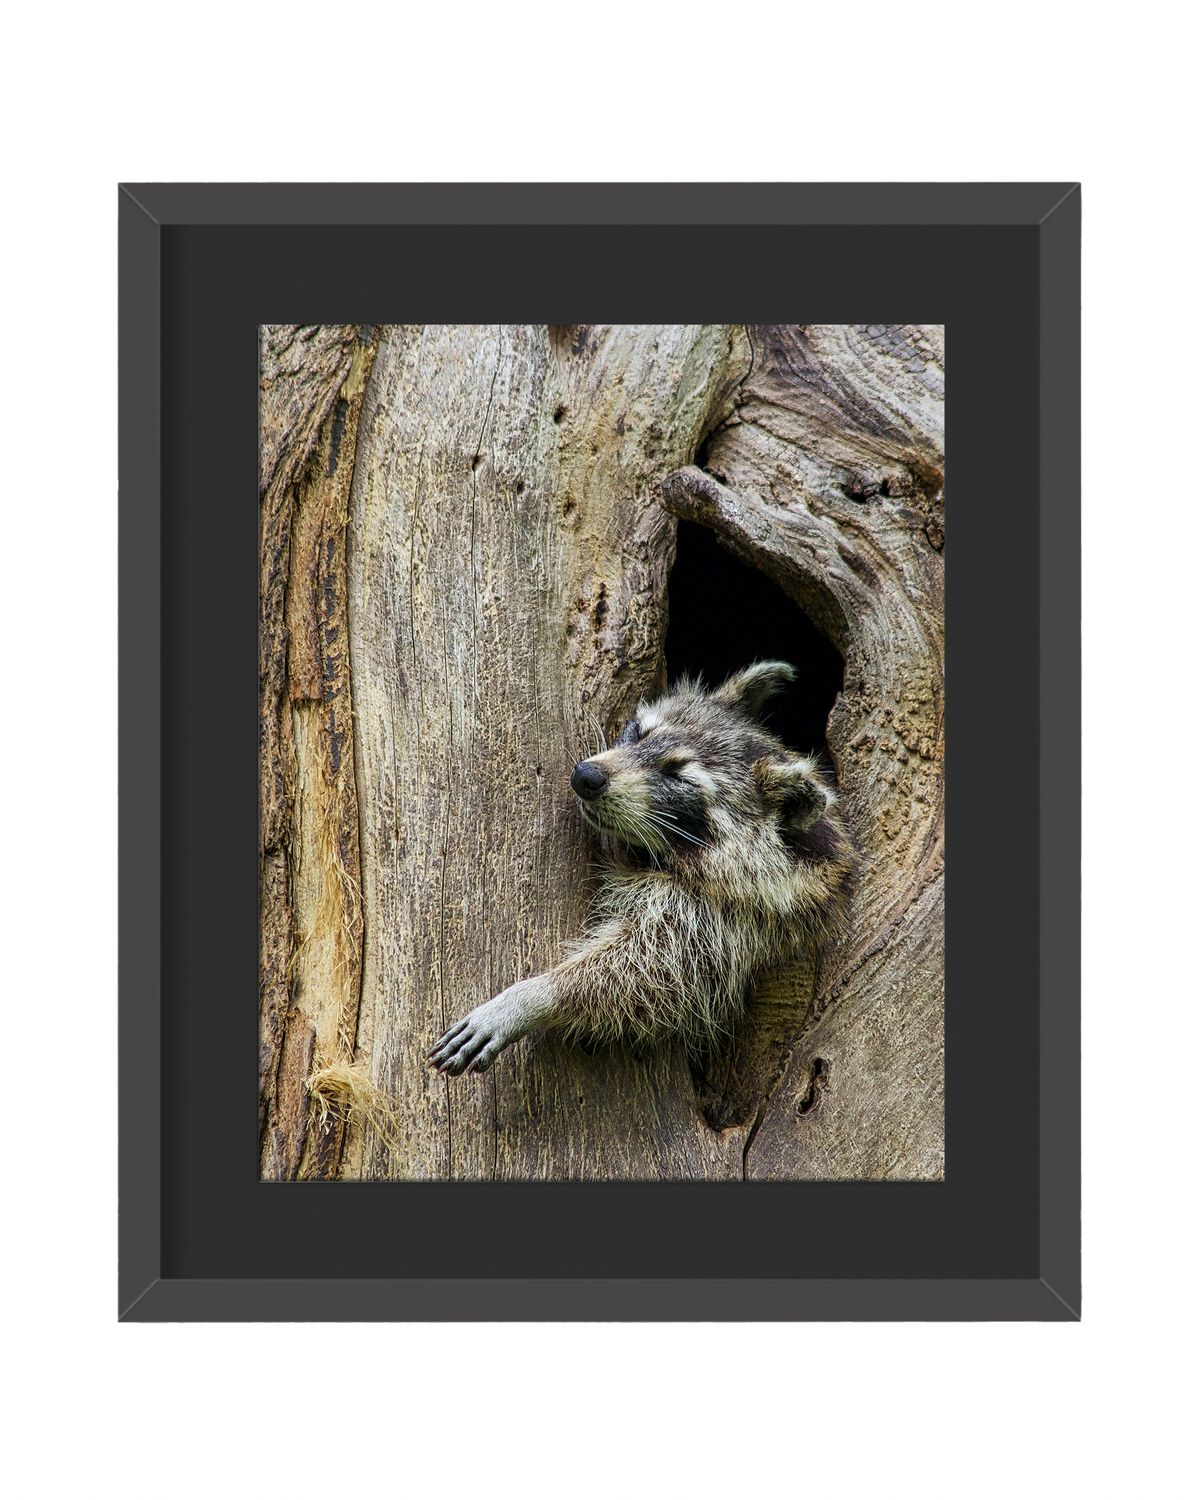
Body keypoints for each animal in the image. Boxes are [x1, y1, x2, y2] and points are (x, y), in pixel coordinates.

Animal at [429, 660, 855, 1076]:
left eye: (678, 777)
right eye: (637, 732)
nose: (586, 777)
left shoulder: (737, 923)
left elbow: (649, 974)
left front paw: (535, 995)